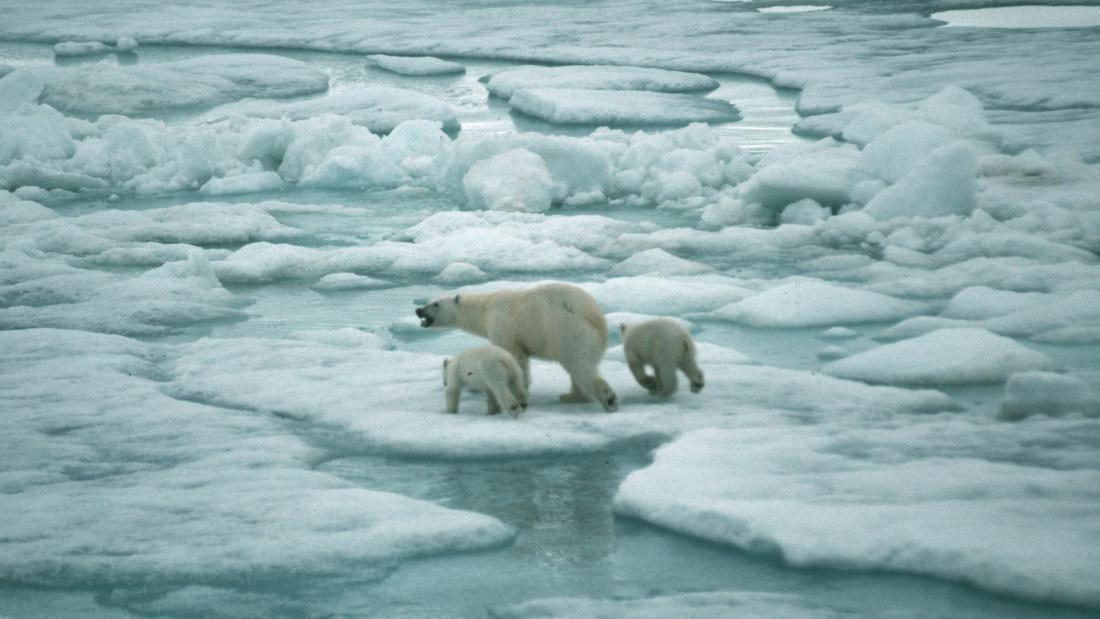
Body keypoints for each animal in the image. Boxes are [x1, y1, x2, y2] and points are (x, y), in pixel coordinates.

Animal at [415, 283, 620, 411]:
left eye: (435, 304)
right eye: (428, 301)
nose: (418, 310)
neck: (486, 307)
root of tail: (596, 318)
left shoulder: (503, 327)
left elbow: (515, 357)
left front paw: (520, 392)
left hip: (568, 331)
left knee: (580, 366)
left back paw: (606, 398)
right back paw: (571, 396)